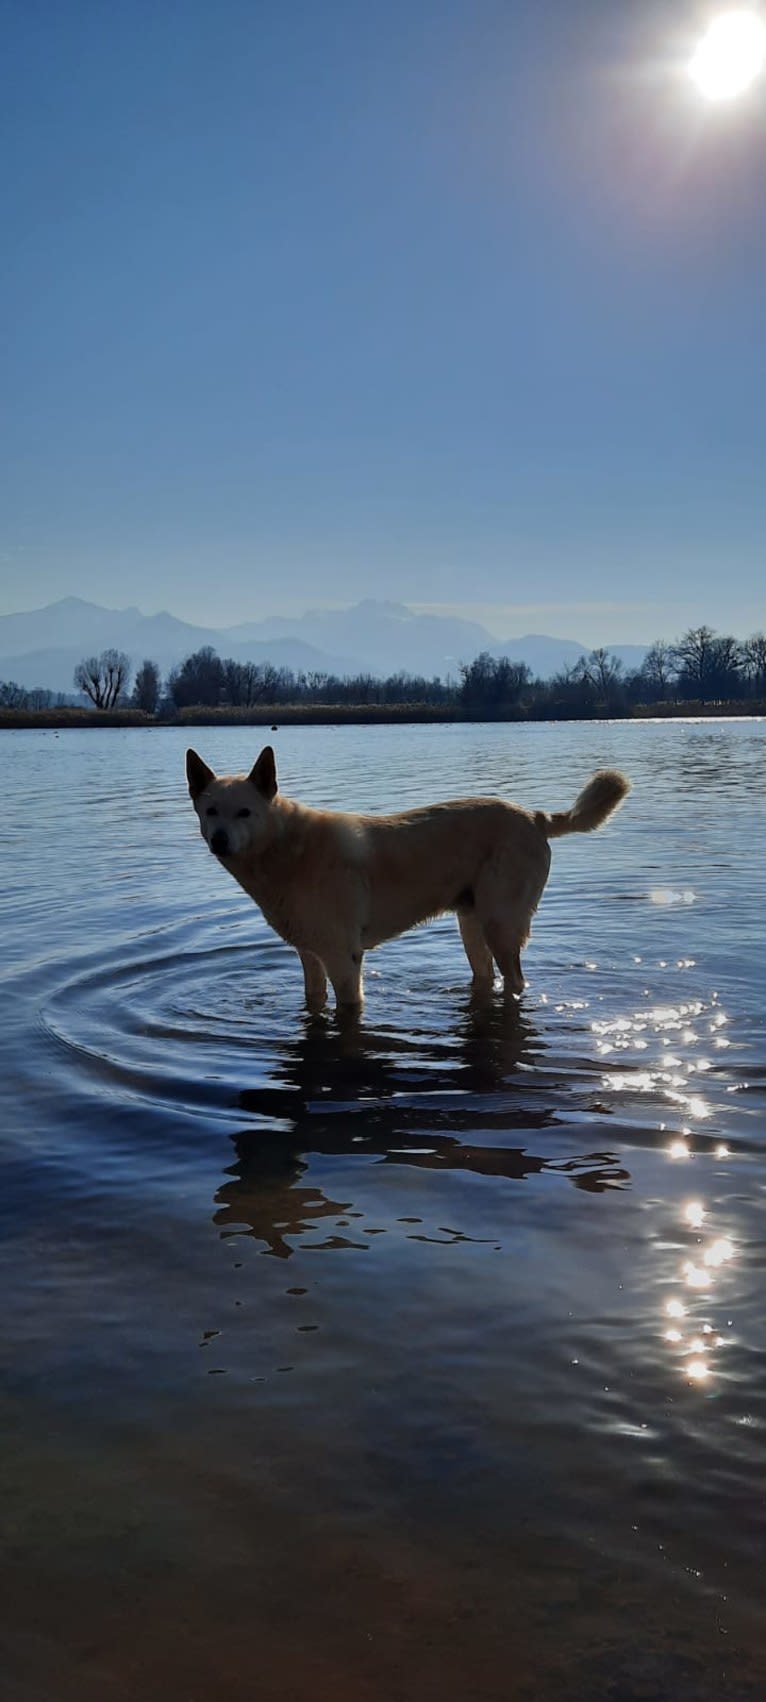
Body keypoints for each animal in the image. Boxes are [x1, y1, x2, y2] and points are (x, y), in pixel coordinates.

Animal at [185, 748, 629, 1007]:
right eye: (211, 812)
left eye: (244, 812)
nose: (220, 841)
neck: (286, 849)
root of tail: (534, 817)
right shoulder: (310, 956)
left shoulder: (343, 958)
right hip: (472, 925)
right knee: (487, 975)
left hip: (501, 925)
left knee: (516, 981)